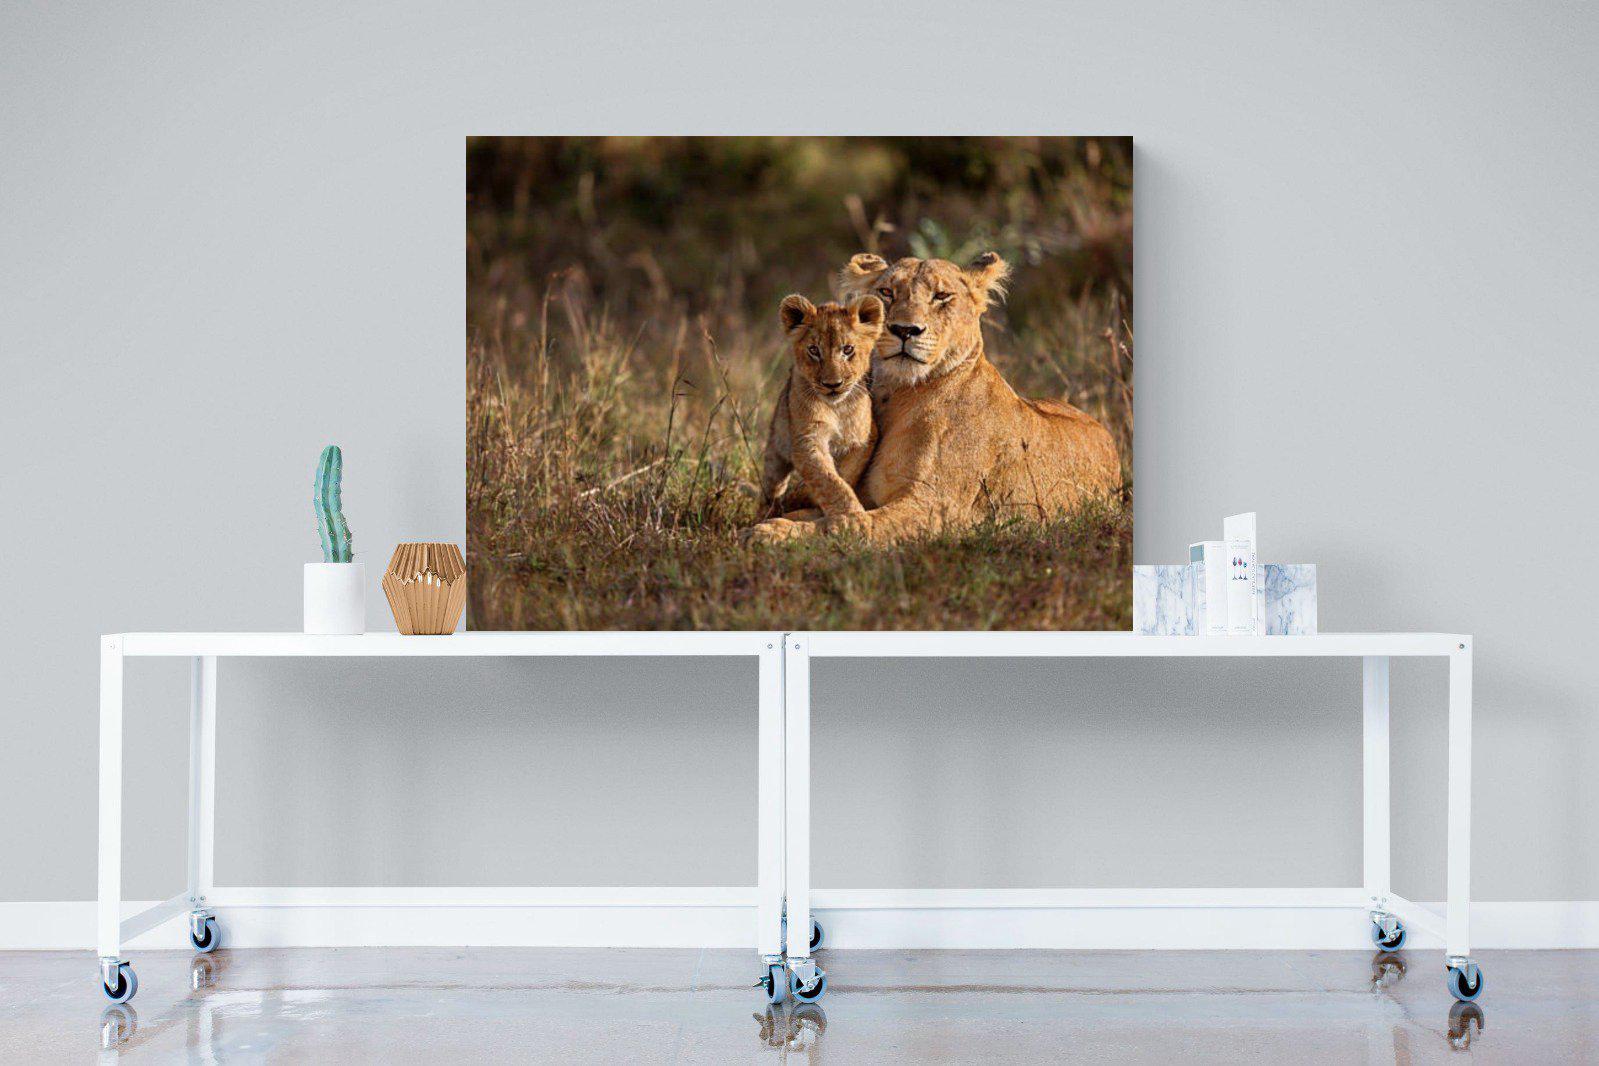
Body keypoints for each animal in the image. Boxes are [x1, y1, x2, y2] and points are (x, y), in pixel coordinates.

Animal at [760, 294, 884, 517]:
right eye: (814, 350)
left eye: (848, 349)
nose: (833, 384)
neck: (837, 408)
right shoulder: (807, 439)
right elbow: (828, 480)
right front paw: (852, 516)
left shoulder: (865, 438)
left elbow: (844, 473)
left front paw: (805, 496)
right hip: (776, 449)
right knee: (770, 489)